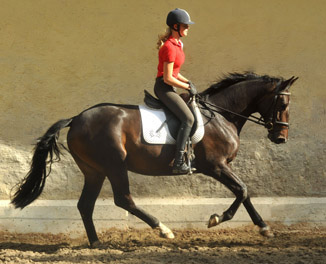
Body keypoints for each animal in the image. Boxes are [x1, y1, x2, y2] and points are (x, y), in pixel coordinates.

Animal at [11, 72, 298, 248]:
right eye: (283, 104)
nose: (281, 137)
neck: (220, 115)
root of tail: (76, 118)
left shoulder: (221, 167)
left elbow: (244, 192)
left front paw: (263, 228)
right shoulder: (216, 166)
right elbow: (243, 189)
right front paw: (218, 218)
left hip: (94, 171)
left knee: (85, 205)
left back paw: (96, 243)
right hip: (114, 165)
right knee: (123, 199)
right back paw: (164, 229)